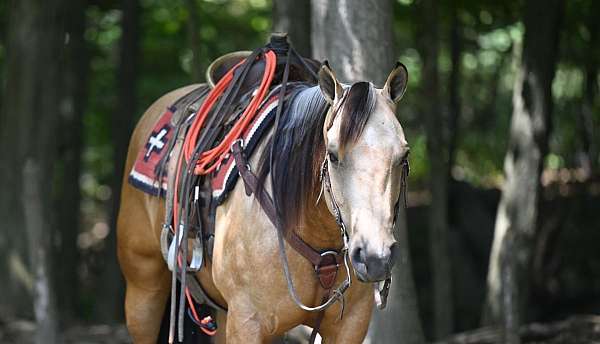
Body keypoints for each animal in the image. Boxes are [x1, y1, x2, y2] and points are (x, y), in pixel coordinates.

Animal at [117, 36, 410, 342]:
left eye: (403, 156)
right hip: (144, 292)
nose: (375, 257)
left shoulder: (351, 325)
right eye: (332, 155)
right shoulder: (248, 322)